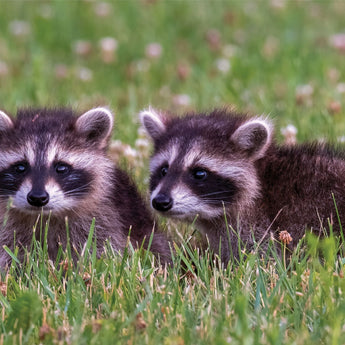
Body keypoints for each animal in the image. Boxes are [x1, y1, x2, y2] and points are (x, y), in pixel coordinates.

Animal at [0, 107, 171, 266]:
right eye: (20, 167)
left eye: (61, 168)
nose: (37, 198)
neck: (45, 216)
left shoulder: (105, 218)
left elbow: (102, 251)